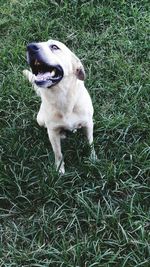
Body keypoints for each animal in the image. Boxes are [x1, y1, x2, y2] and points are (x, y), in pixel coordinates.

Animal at [23, 39, 96, 174]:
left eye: (54, 47)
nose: (30, 47)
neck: (62, 98)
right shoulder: (52, 132)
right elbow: (58, 153)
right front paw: (59, 170)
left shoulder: (89, 124)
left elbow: (90, 143)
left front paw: (93, 159)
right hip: (40, 119)